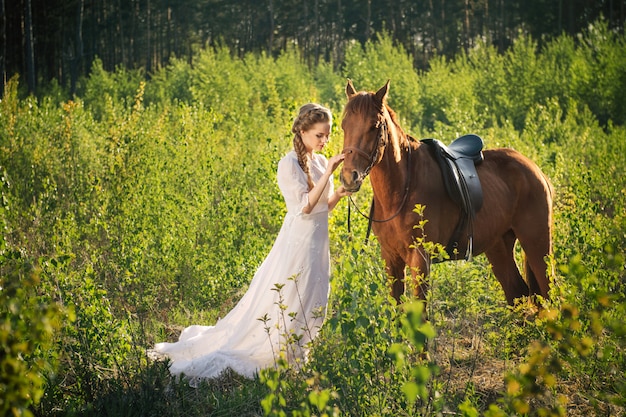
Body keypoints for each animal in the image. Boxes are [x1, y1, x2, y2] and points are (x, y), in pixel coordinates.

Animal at [342, 80, 552, 306]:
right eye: (344, 125)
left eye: (373, 126)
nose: (349, 177)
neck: (402, 189)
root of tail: (535, 169)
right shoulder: (391, 258)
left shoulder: (420, 259)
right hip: (499, 246)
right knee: (517, 292)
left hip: (537, 245)